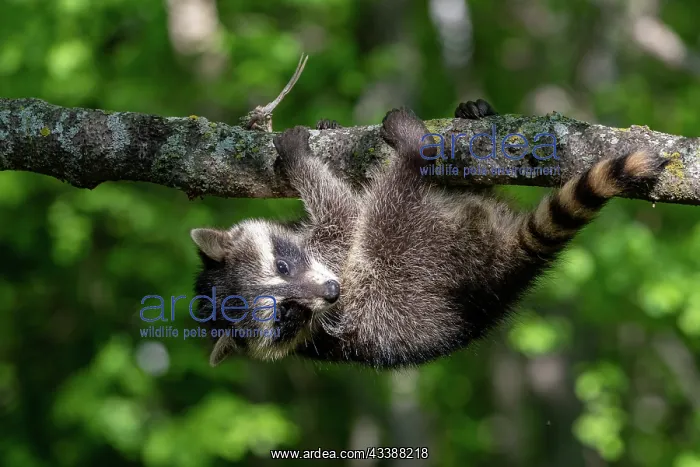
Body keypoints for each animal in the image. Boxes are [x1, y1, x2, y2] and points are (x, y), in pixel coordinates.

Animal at [191, 99, 669, 369]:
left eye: (283, 265)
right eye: (286, 315)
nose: (331, 292)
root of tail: (494, 280)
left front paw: (324, 130)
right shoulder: (345, 265)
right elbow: (345, 215)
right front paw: (299, 161)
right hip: (415, 261)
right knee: (390, 206)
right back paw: (414, 149)